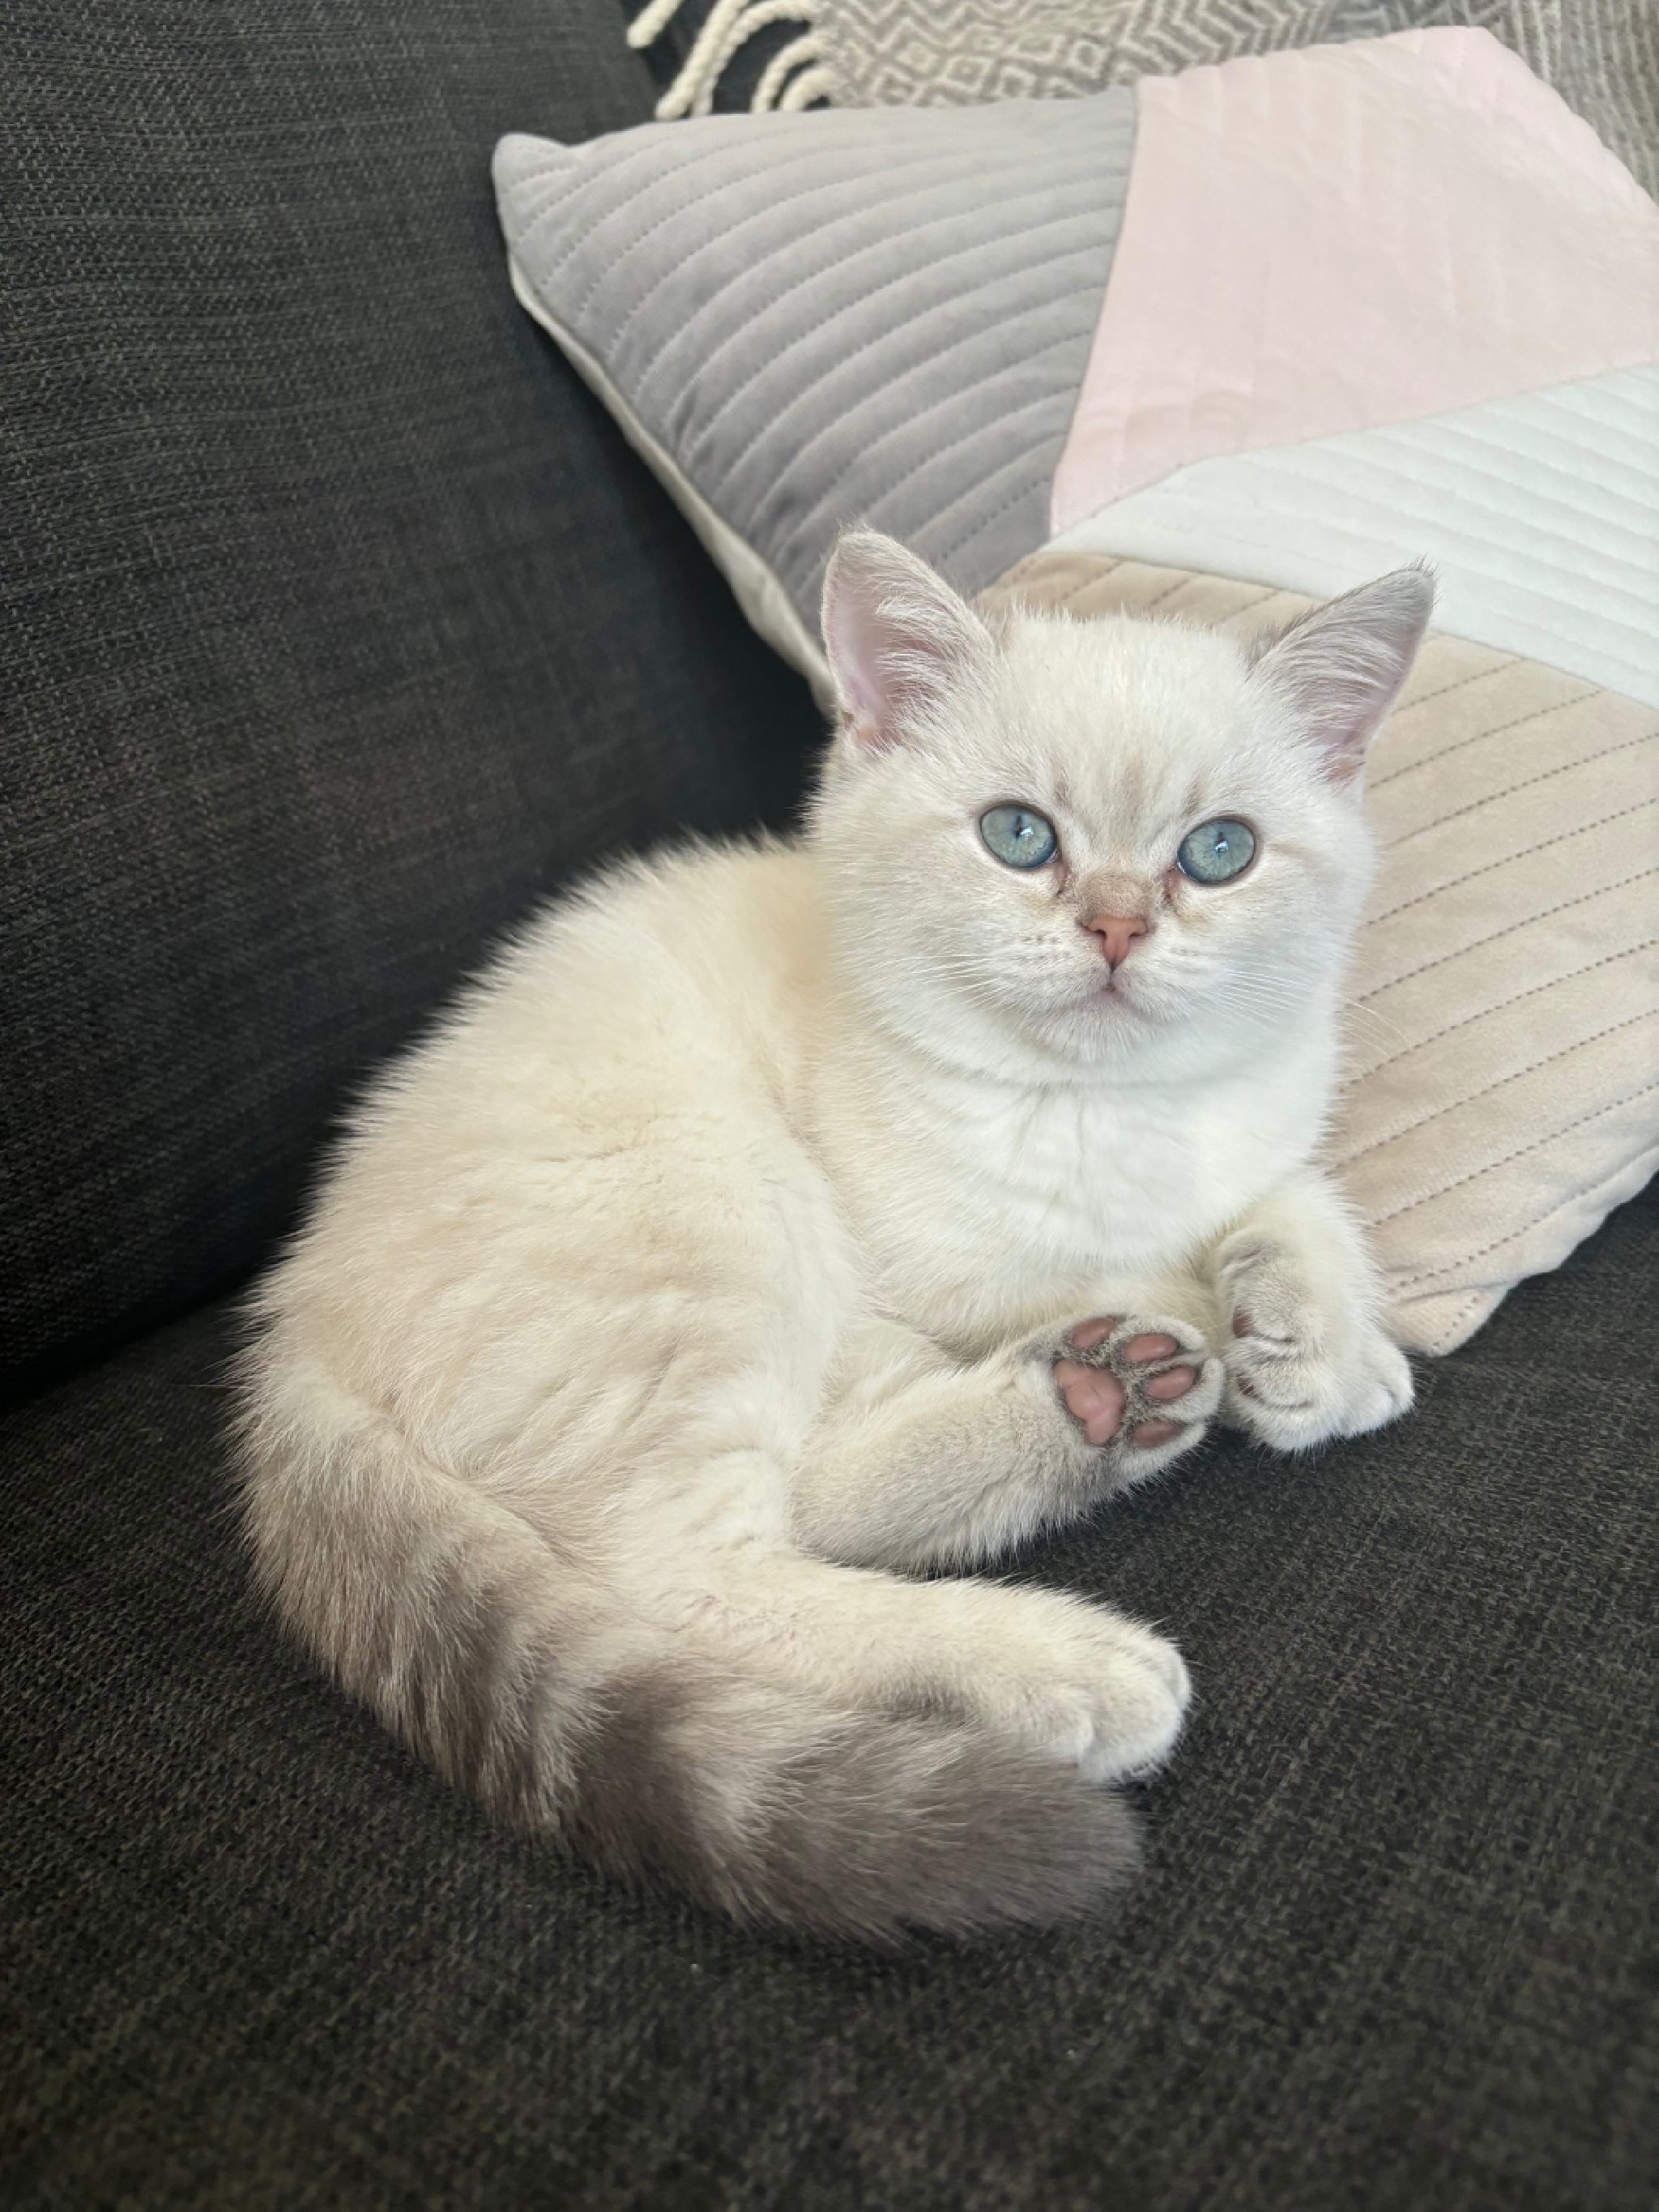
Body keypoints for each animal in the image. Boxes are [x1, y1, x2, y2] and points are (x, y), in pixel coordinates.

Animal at [240, 531, 1433, 1937]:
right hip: (718, 1208)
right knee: (695, 1563)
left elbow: (1288, 1192)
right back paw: (1061, 1634)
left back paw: (1102, 1400)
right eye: (1019, 835)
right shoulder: (909, 1278)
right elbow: (1115, 1271)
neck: (1108, 1110)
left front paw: (1321, 1342)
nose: (1118, 922)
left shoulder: (1251, 1126)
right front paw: (1254, 1334)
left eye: (1221, 851)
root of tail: (293, 1319)